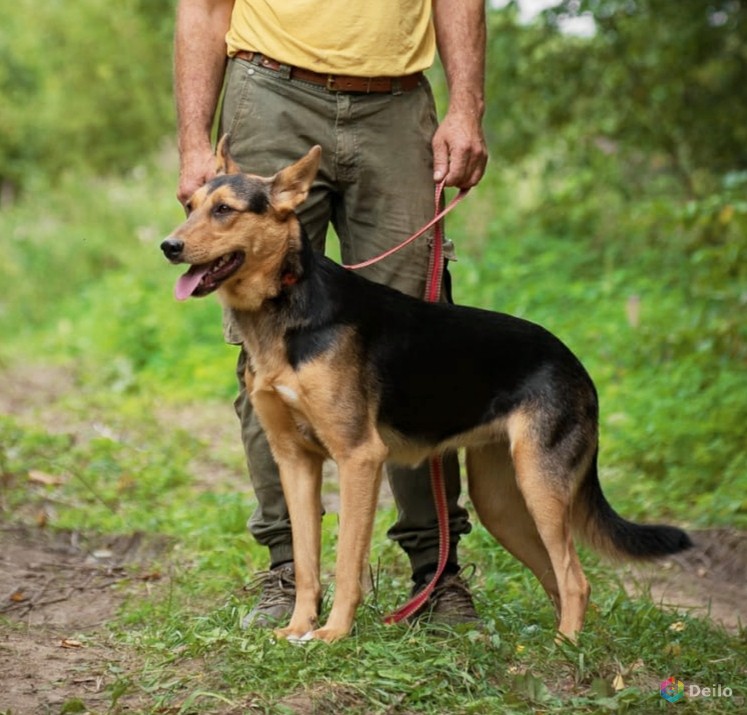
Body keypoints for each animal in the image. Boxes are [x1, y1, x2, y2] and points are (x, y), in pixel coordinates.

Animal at [161, 140, 692, 644]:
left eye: (224, 210)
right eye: (190, 205)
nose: (169, 246)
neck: (287, 303)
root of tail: (575, 364)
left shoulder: (359, 458)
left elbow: (346, 562)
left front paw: (333, 633)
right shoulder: (295, 462)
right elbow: (308, 563)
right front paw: (297, 628)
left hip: (539, 484)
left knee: (576, 579)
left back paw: (564, 647)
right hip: (503, 501)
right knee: (558, 576)